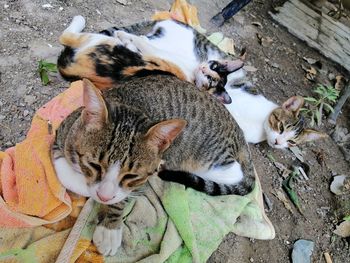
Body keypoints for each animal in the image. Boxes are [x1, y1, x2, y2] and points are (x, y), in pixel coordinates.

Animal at [53, 75, 258, 256]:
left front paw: (110, 227)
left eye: (131, 176)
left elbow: (123, 195)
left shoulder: (140, 180)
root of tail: (238, 130)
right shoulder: (62, 134)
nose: (103, 196)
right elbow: (64, 173)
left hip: (207, 158)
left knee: (233, 173)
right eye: (94, 165)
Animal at [57, 15, 243, 104]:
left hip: (100, 41)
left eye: (210, 81)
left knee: (66, 36)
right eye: (214, 66)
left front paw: (125, 35)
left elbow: (140, 40)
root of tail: (69, 69)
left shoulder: (155, 51)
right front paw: (130, 39)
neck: (191, 72)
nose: (204, 69)